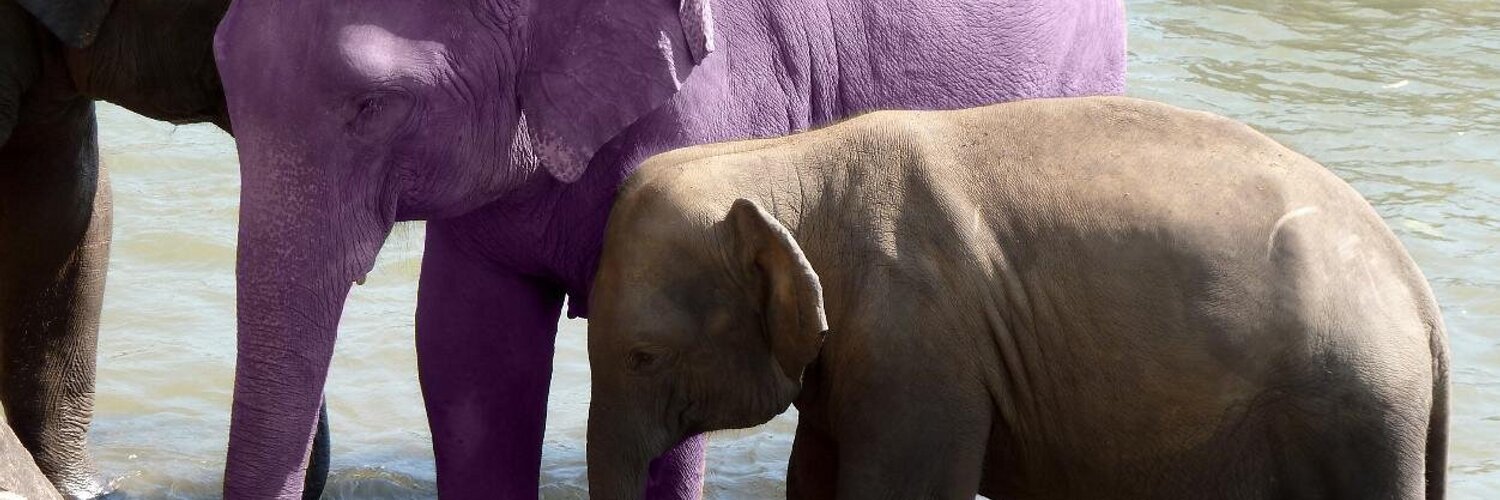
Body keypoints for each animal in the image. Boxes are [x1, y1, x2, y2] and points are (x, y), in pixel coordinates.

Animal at [584, 97, 1450, 499]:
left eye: (643, 355)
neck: (790, 162)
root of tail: (1420, 295)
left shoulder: (922, 348)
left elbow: (895, 491)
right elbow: (816, 479)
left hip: (1354, 412)